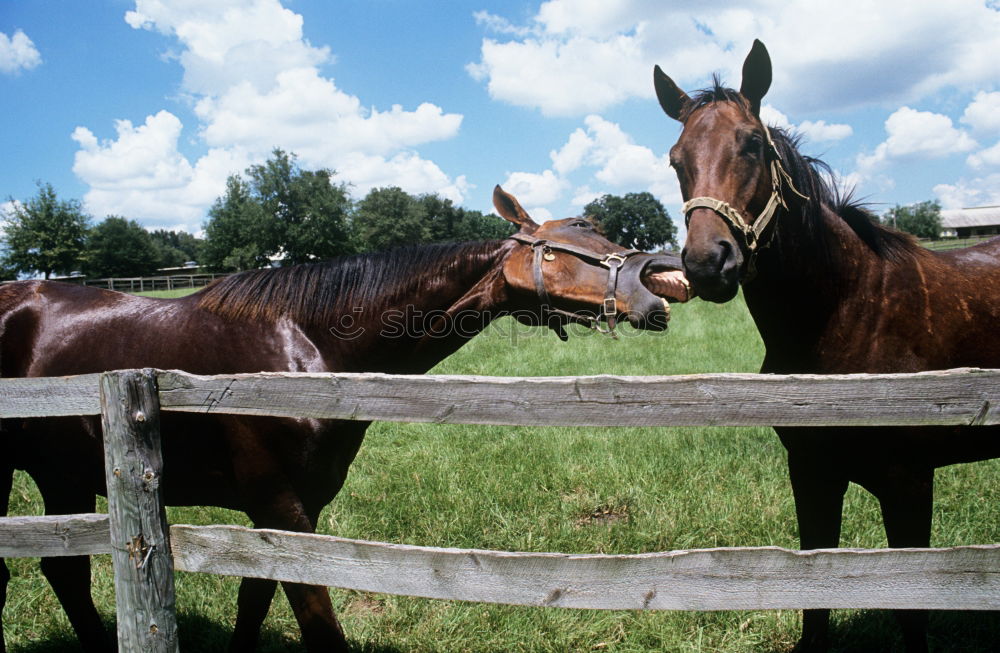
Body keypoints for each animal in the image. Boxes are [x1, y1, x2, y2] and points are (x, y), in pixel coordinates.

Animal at [0, 186, 688, 648]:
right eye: (560, 248)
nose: (658, 285)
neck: (306, 345)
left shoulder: (291, 509)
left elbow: (255, 601)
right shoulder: (278, 503)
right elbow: (319, 625)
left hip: (63, 476)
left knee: (64, 570)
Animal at [652, 42, 1000, 652]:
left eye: (753, 143)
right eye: (676, 159)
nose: (708, 262)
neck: (850, 310)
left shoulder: (909, 482)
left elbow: (913, 612)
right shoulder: (811, 471)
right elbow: (814, 594)